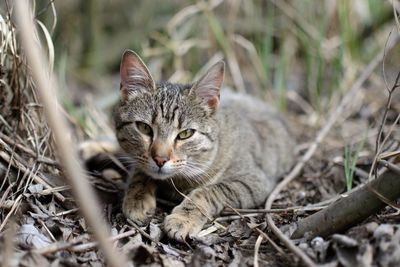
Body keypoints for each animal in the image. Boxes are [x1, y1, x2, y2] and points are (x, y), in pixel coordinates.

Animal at [86, 49, 296, 242]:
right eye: (144, 128)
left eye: (185, 134)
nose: (160, 159)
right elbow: (140, 172)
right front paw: (137, 198)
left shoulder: (254, 180)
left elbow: (210, 191)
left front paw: (183, 218)